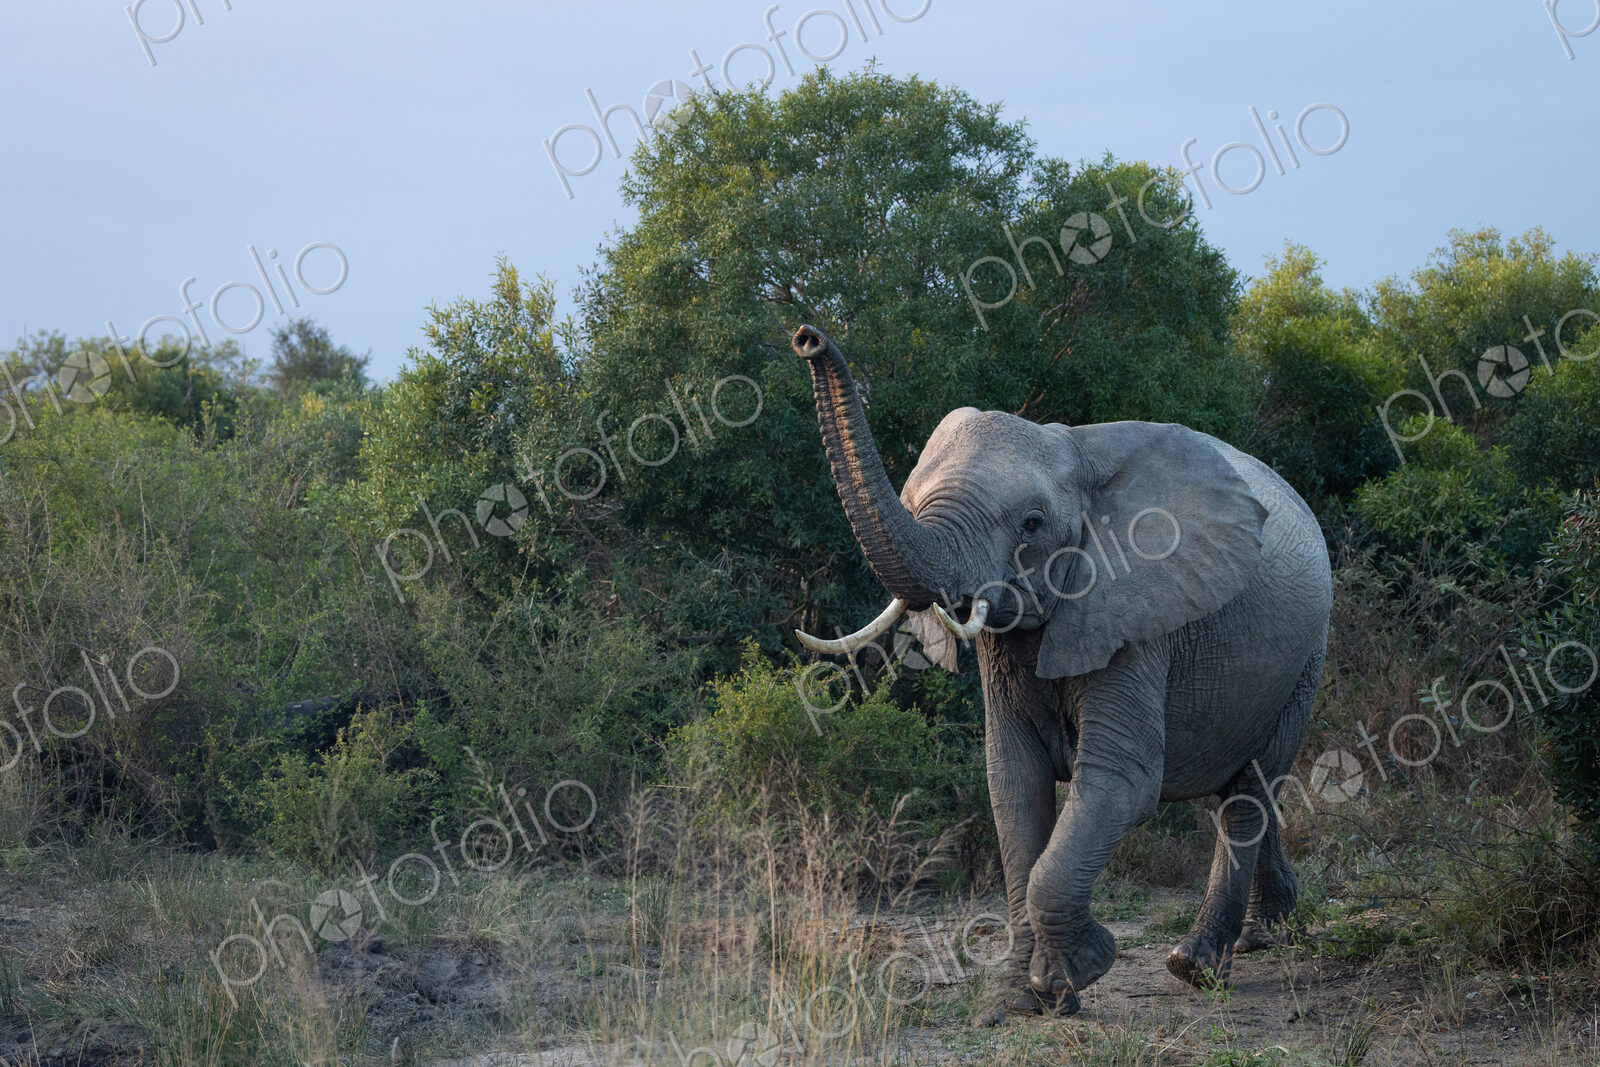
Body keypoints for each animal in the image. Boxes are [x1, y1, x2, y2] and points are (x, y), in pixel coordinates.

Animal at [789, 325, 1333, 1016]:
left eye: (1032, 523)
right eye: (911, 501)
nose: (808, 338)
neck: (1075, 449)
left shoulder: (1135, 614)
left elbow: (1122, 778)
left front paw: (1076, 974)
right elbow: (1012, 782)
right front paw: (1017, 1004)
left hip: (1306, 658)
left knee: (1249, 793)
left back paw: (1197, 965)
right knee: (1238, 788)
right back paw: (1267, 934)